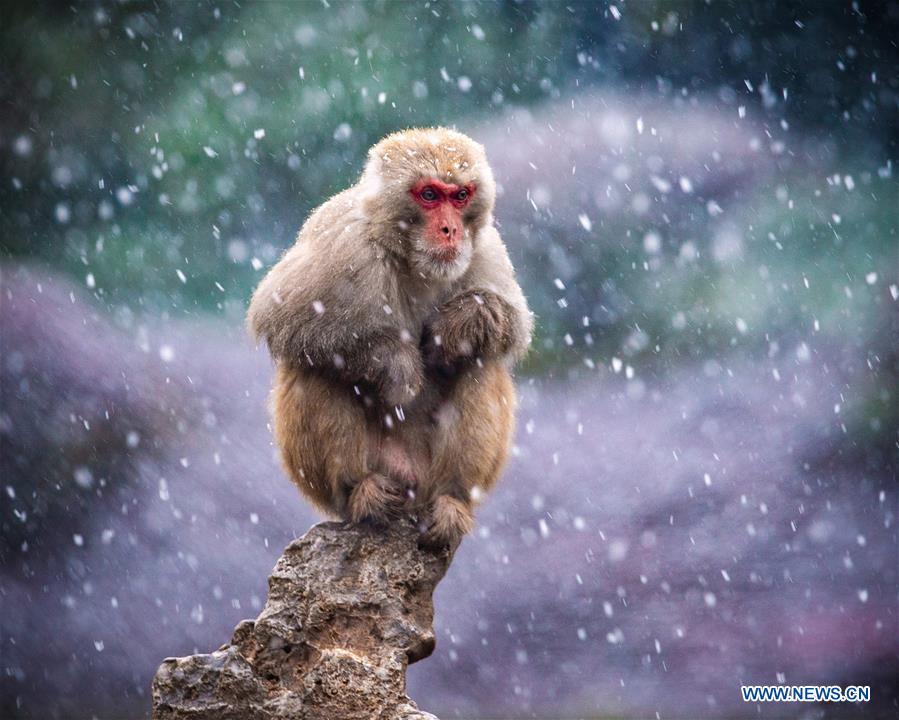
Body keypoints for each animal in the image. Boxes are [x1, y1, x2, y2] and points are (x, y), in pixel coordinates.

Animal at [247, 127, 532, 547]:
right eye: (429, 195)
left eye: (460, 195)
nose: (450, 230)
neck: (410, 258)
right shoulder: (342, 238)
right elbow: (279, 315)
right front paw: (396, 363)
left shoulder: (484, 247)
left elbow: (513, 325)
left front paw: (461, 323)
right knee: (312, 364)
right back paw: (363, 495)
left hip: (427, 477)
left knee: (482, 362)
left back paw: (451, 501)